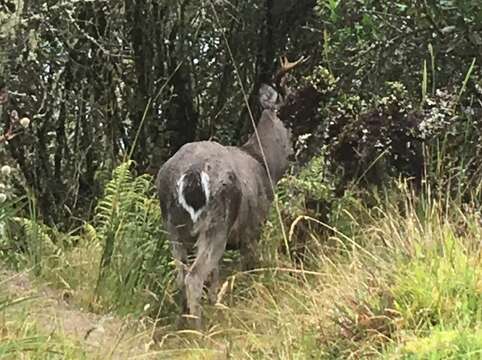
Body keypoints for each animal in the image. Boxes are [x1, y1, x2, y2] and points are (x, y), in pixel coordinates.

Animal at [155, 54, 306, 328]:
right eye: (292, 101)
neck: (264, 162)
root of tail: (190, 174)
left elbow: (214, 280)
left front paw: (217, 306)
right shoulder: (253, 228)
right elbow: (250, 269)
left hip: (173, 226)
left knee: (181, 275)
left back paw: (183, 323)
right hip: (217, 223)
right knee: (193, 278)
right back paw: (198, 330)